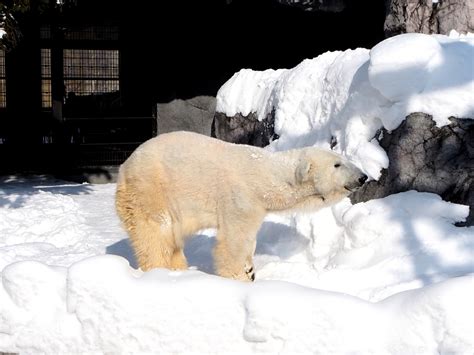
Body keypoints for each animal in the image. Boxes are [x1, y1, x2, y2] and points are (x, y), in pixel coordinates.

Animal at [115, 132, 366, 282]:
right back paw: (161, 272)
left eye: (344, 160)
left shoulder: (257, 205)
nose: (362, 177)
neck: (265, 175)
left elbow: (249, 239)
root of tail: (124, 167)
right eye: (337, 164)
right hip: (150, 191)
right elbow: (234, 239)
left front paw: (250, 268)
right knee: (155, 234)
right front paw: (240, 276)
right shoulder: (240, 197)